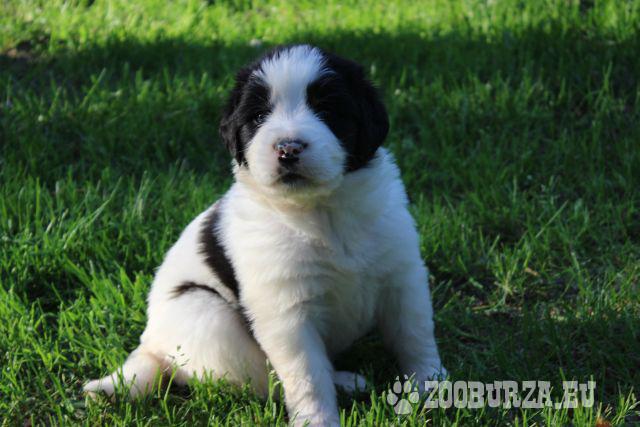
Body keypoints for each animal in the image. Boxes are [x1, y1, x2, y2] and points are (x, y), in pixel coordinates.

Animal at [84, 44, 446, 426]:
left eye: (327, 110)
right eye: (258, 117)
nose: (288, 148)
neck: (322, 211)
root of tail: (151, 347)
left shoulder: (401, 276)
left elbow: (415, 334)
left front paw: (430, 387)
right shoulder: (286, 313)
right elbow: (306, 374)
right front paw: (317, 420)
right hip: (207, 314)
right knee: (266, 379)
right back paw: (344, 383)